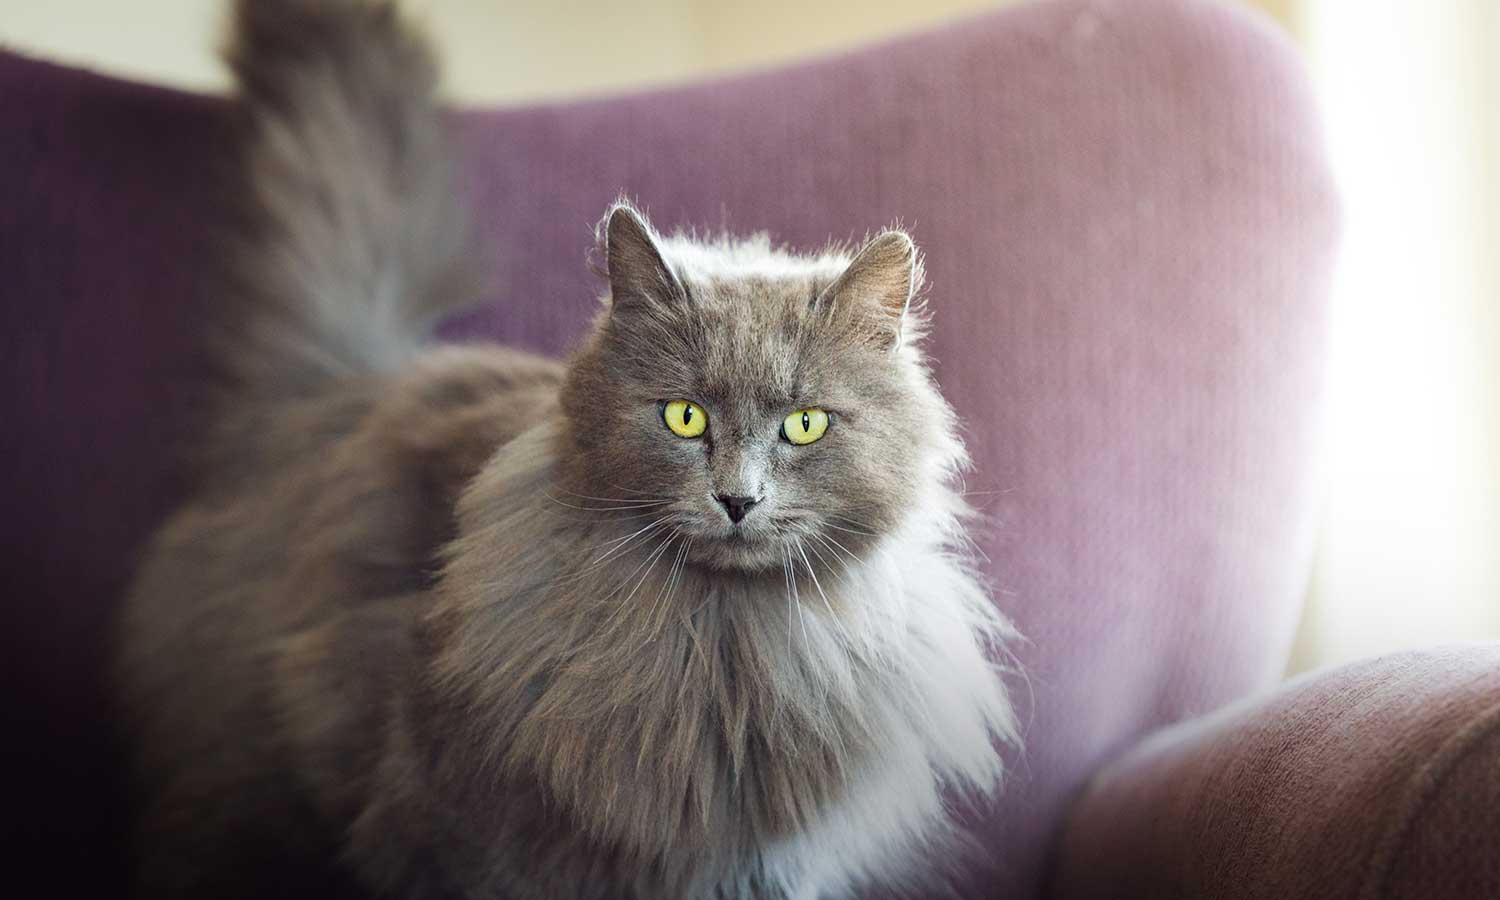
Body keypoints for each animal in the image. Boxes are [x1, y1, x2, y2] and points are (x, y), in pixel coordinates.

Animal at [117, 1, 1020, 900]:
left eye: (804, 425)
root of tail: (351, 382)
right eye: (683, 418)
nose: (737, 499)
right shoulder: (447, 826)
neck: (722, 651)